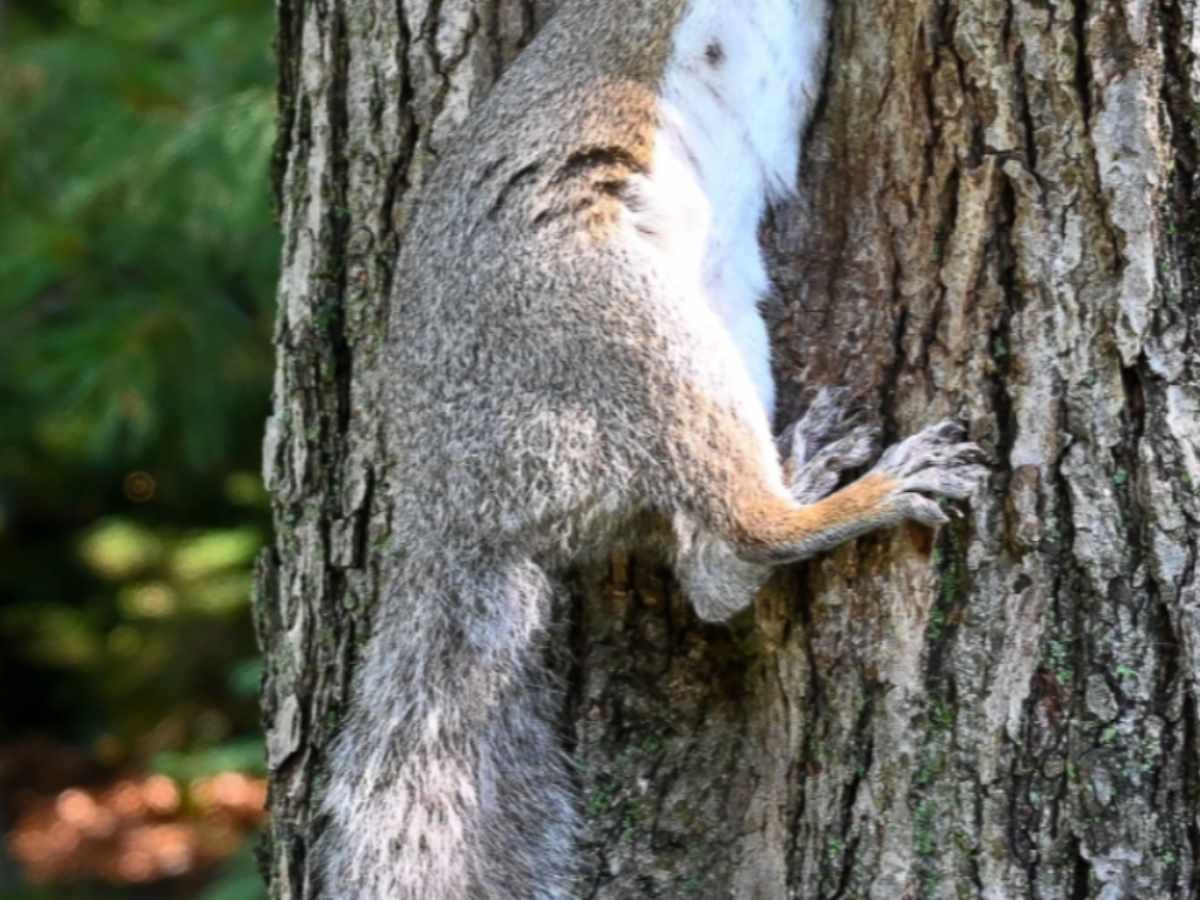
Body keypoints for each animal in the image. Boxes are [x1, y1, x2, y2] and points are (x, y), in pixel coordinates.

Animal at [319, 0, 984, 897]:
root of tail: (454, 511)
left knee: (712, 569)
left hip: (708, 310)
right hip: (621, 324)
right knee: (747, 524)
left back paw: (804, 472)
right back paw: (871, 492)